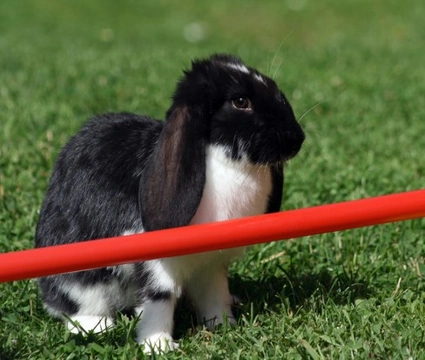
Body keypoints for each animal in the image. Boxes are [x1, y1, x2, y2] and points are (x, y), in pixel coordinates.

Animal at [34, 53, 304, 354]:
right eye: (240, 101)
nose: (297, 138)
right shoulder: (157, 265)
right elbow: (160, 298)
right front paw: (159, 346)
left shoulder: (211, 264)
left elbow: (214, 294)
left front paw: (224, 326)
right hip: (81, 279)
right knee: (73, 306)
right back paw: (98, 327)